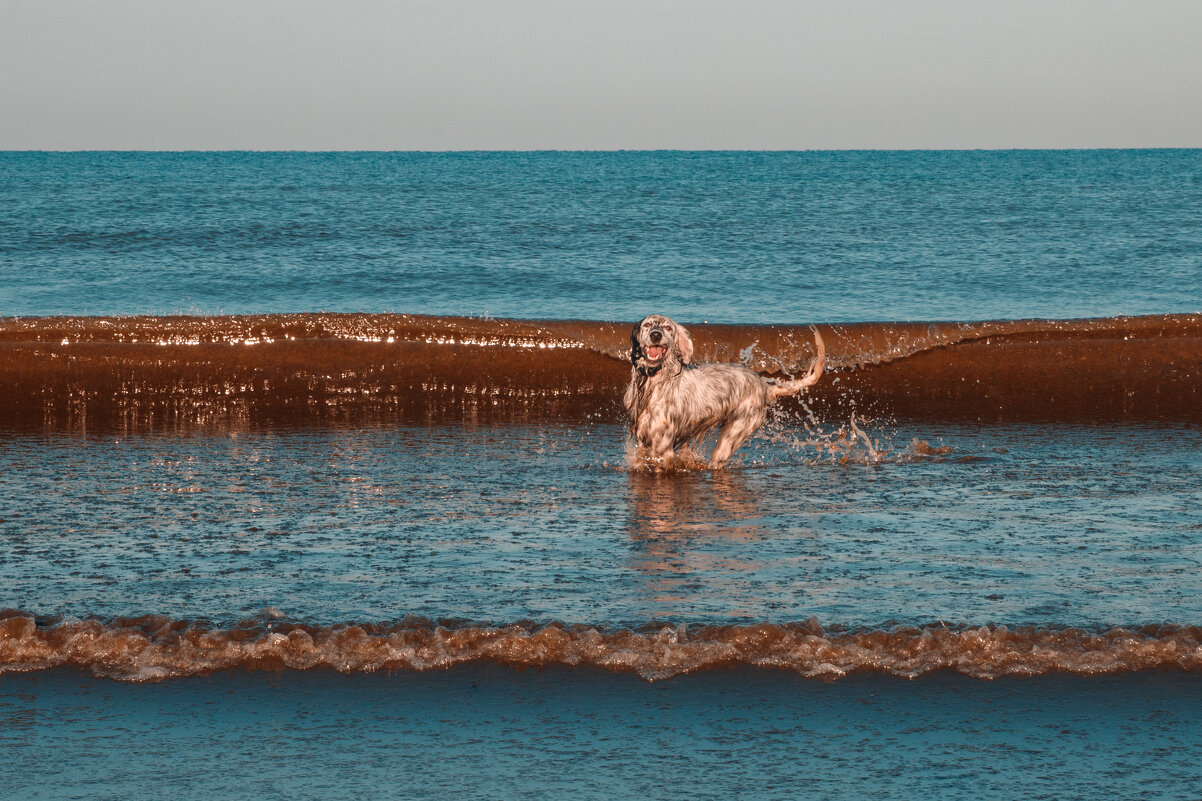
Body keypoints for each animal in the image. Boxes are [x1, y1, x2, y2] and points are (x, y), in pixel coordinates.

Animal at [625, 312, 822, 469]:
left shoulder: (663, 449)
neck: (653, 384)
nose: (656, 335)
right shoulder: (643, 443)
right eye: (647, 325)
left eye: (667, 327)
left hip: (732, 436)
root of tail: (765, 386)